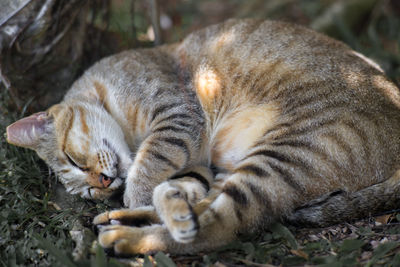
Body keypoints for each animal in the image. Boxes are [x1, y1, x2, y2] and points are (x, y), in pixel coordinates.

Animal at [5, 19, 400, 255]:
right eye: (87, 193)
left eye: (72, 160)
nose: (103, 184)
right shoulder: (197, 161)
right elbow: (174, 184)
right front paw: (155, 200)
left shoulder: (177, 116)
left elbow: (145, 173)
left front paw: (135, 196)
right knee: (206, 211)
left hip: (285, 155)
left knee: (220, 228)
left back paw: (125, 235)